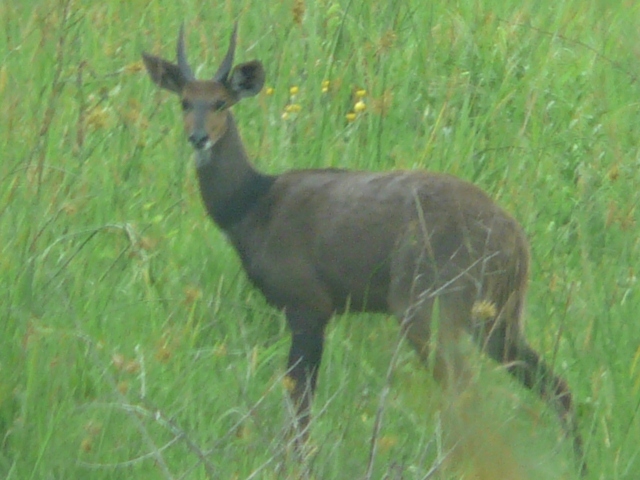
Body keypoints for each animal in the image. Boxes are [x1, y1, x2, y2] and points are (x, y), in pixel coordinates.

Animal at [144, 22, 584, 472]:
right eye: (185, 102)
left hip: (429, 302)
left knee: (469, 397)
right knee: (556, 388)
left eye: (220, 102)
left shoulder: (307, 301)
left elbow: (299, 404)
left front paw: (297, 464)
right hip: (498, 316)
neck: (252, 206)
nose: (198, 137)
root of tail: (516, 242)